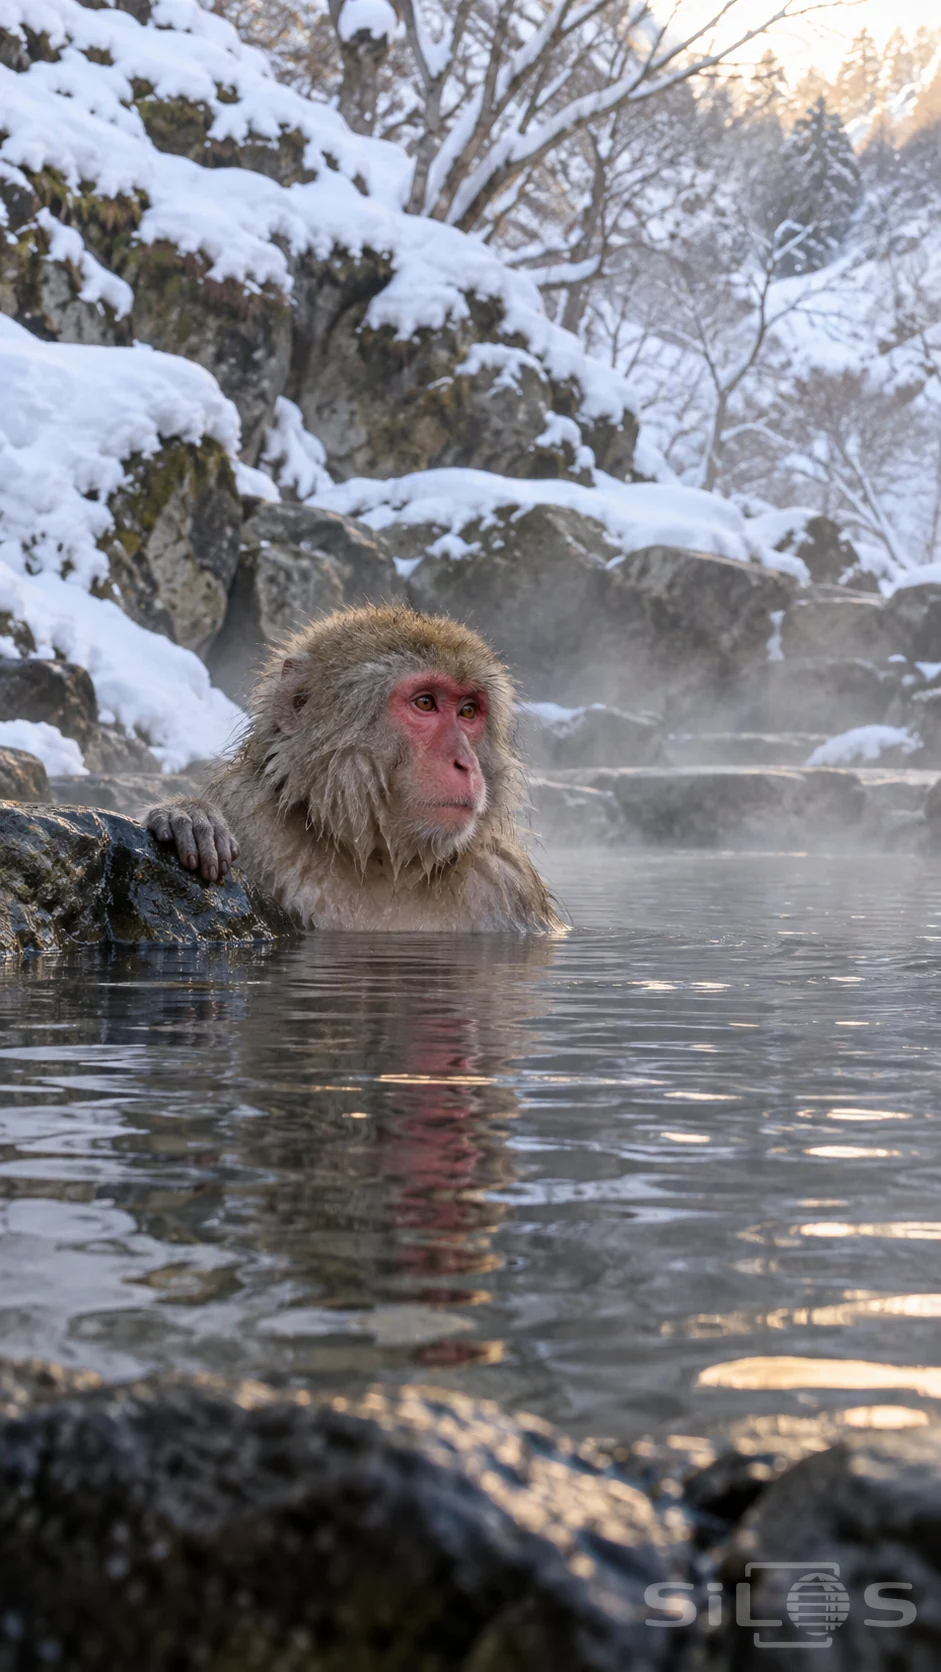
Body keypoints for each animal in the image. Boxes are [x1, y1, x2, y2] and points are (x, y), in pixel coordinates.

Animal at [146, 604, 566, 934]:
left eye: (468, 711)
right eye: (425, 703)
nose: (465, 762)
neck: (380, 860)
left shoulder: (506, 885)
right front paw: (191, 818)